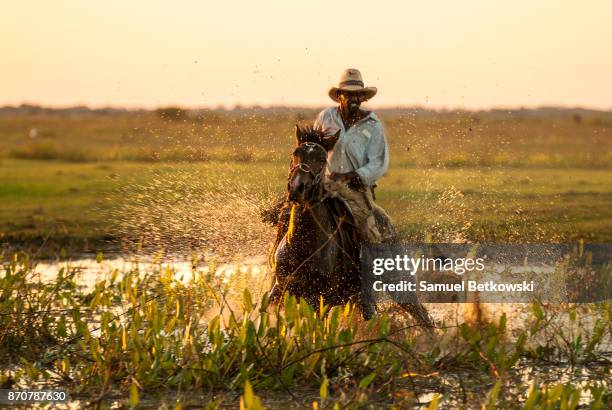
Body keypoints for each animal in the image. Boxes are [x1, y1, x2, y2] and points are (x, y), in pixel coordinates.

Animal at [268, 126, 436, 326]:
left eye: (322, 159)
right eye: (296, 153)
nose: (297, 188)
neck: (304, 247)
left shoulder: (321, 300)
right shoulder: (283, 292)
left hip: (396, 280)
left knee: (422, 316)